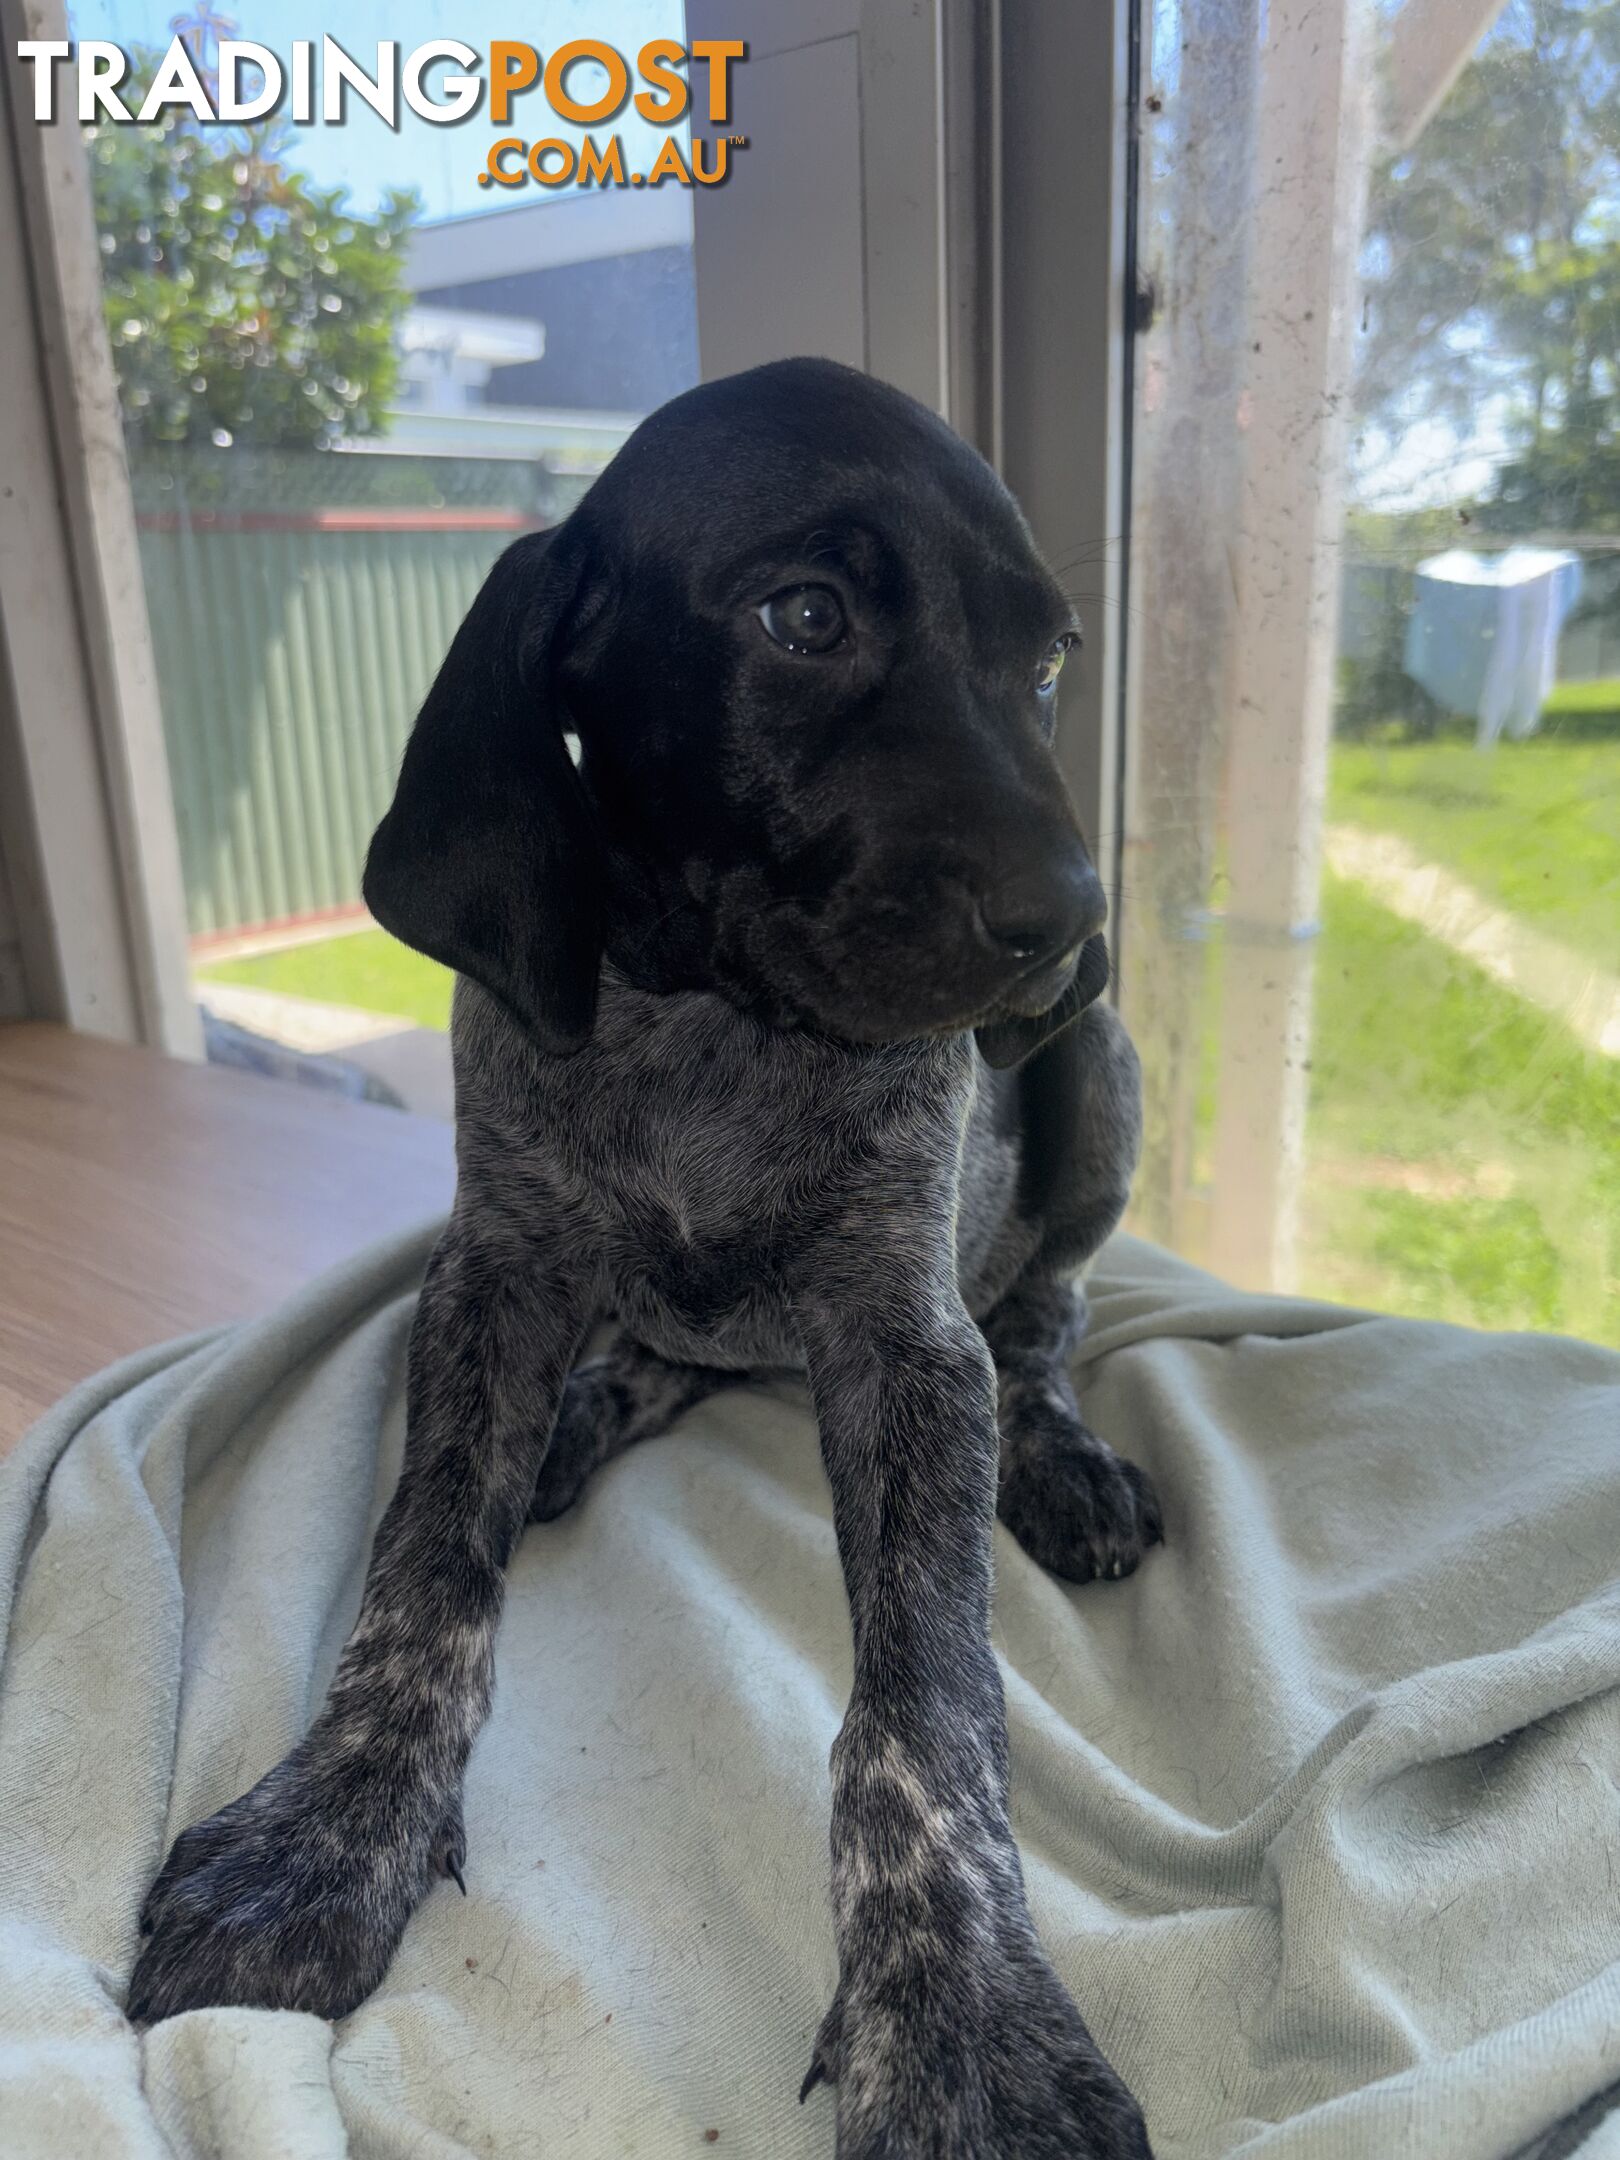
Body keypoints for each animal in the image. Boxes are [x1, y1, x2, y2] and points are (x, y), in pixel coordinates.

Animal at [133, 362, 1157, 2151]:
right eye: (805, 615)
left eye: (1046, 662)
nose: (1078, 926)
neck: (706, 1015)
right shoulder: (491, 1273)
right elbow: (423, 1570)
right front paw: (325, 1835)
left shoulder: (908, 1347)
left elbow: (926, 1701)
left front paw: (959, 2015)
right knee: (663, 1355)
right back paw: (581, 1416)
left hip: (1097, 1090)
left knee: (1044, 1310)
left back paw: (1064, 1453)